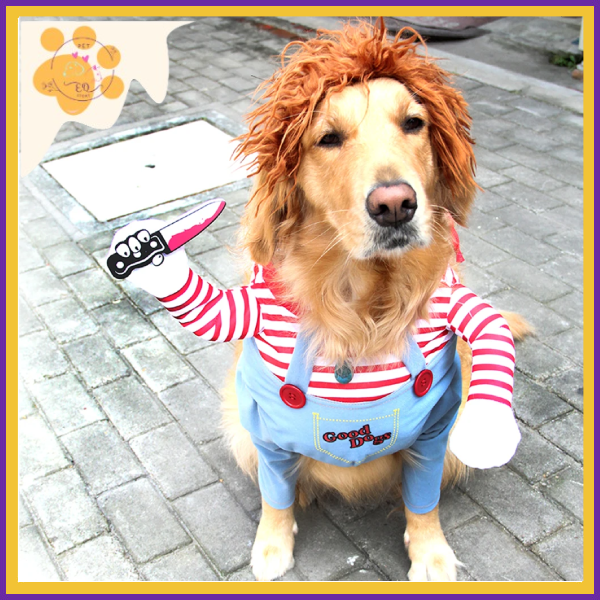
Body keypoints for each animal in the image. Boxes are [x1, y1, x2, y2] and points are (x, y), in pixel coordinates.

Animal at [221, 22, 528, 580]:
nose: (395, 205)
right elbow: (276, 495)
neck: (362, 307)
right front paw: (272, 543)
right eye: (327, 138)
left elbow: (423, 503)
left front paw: (430, 551)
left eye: (414, 123)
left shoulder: (436, 432)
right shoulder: (264, 430)